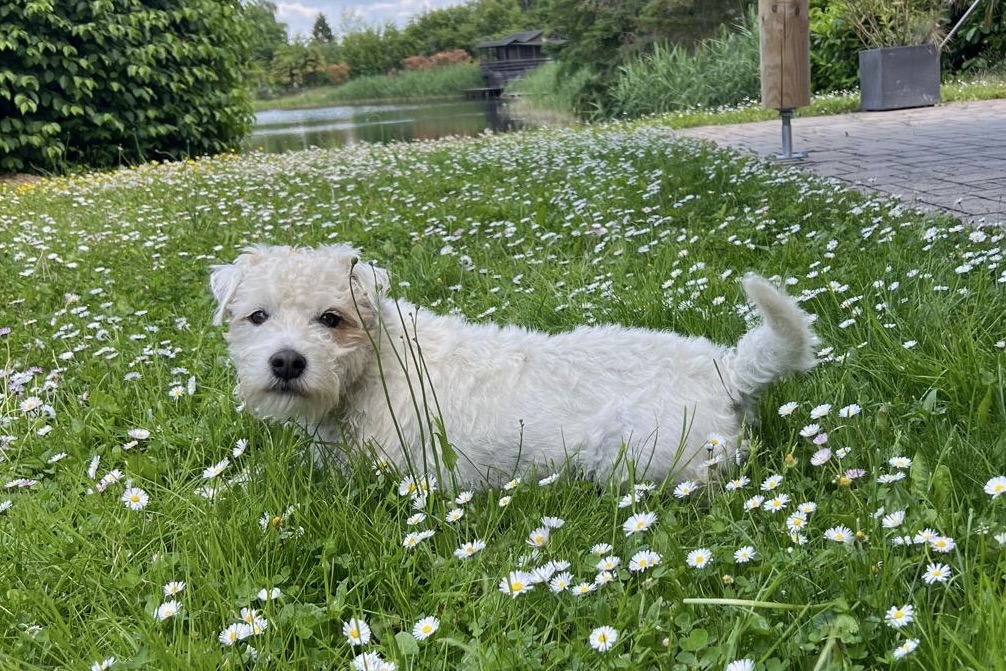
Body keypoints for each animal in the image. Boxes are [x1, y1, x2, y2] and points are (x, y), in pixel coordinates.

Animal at [210, 244, 816, 487]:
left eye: (331, 318)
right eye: (257, 316)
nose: (287, 362)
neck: (374, 363)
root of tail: (729, 370)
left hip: (639, 454)